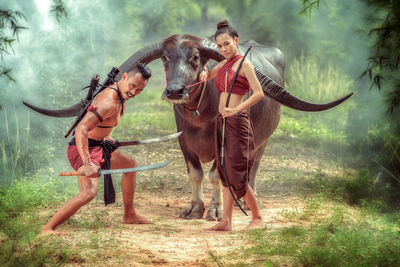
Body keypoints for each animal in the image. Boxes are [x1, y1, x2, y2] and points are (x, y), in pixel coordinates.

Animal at [23, 34, 352, 222]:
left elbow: (217, 174)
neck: (200, 113)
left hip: (262, 141)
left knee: (251, 167)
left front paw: (216, 210)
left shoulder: (224, 141)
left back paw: (247, 198)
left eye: (195, 57)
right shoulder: (183, 142)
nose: (175, 91)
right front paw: (194, 209)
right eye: (166, 58)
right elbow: (195, 174)